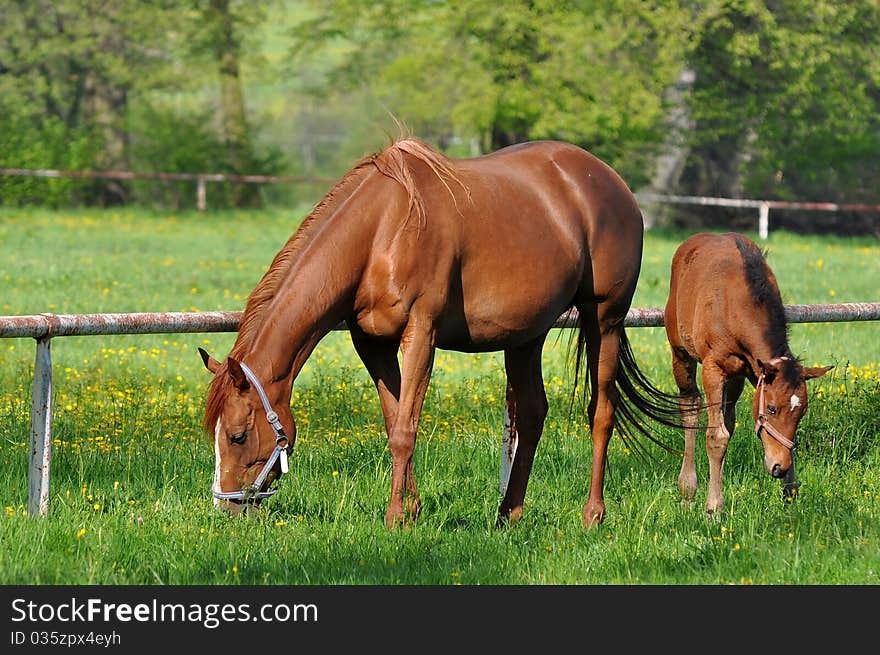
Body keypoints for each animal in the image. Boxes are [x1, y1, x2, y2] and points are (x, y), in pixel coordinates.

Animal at [201, 136, 680, 532]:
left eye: (238, 435)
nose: (226, 507)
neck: (383, 231)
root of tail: (611, 183)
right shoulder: (372, 345)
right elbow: (395, 420)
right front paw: (411, 509)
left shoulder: (421, 333)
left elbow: (405, 429)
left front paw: (396, 517)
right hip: (526, 336)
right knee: (532, 413)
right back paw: (509, 514)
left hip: (605, 321)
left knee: (601, 413)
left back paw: (592, 514)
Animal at [668, 233, 832, 516]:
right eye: (772, 408)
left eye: (801, 412)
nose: (779, 467)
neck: (737, 303)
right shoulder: (713, 367)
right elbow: (715, 436)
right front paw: (713, 508)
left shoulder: (754, 371)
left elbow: (728, 429)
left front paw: (790, 493)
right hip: (681, 353)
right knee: (690, 407)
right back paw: (688, 490)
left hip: (735, 378)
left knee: (727, 418)